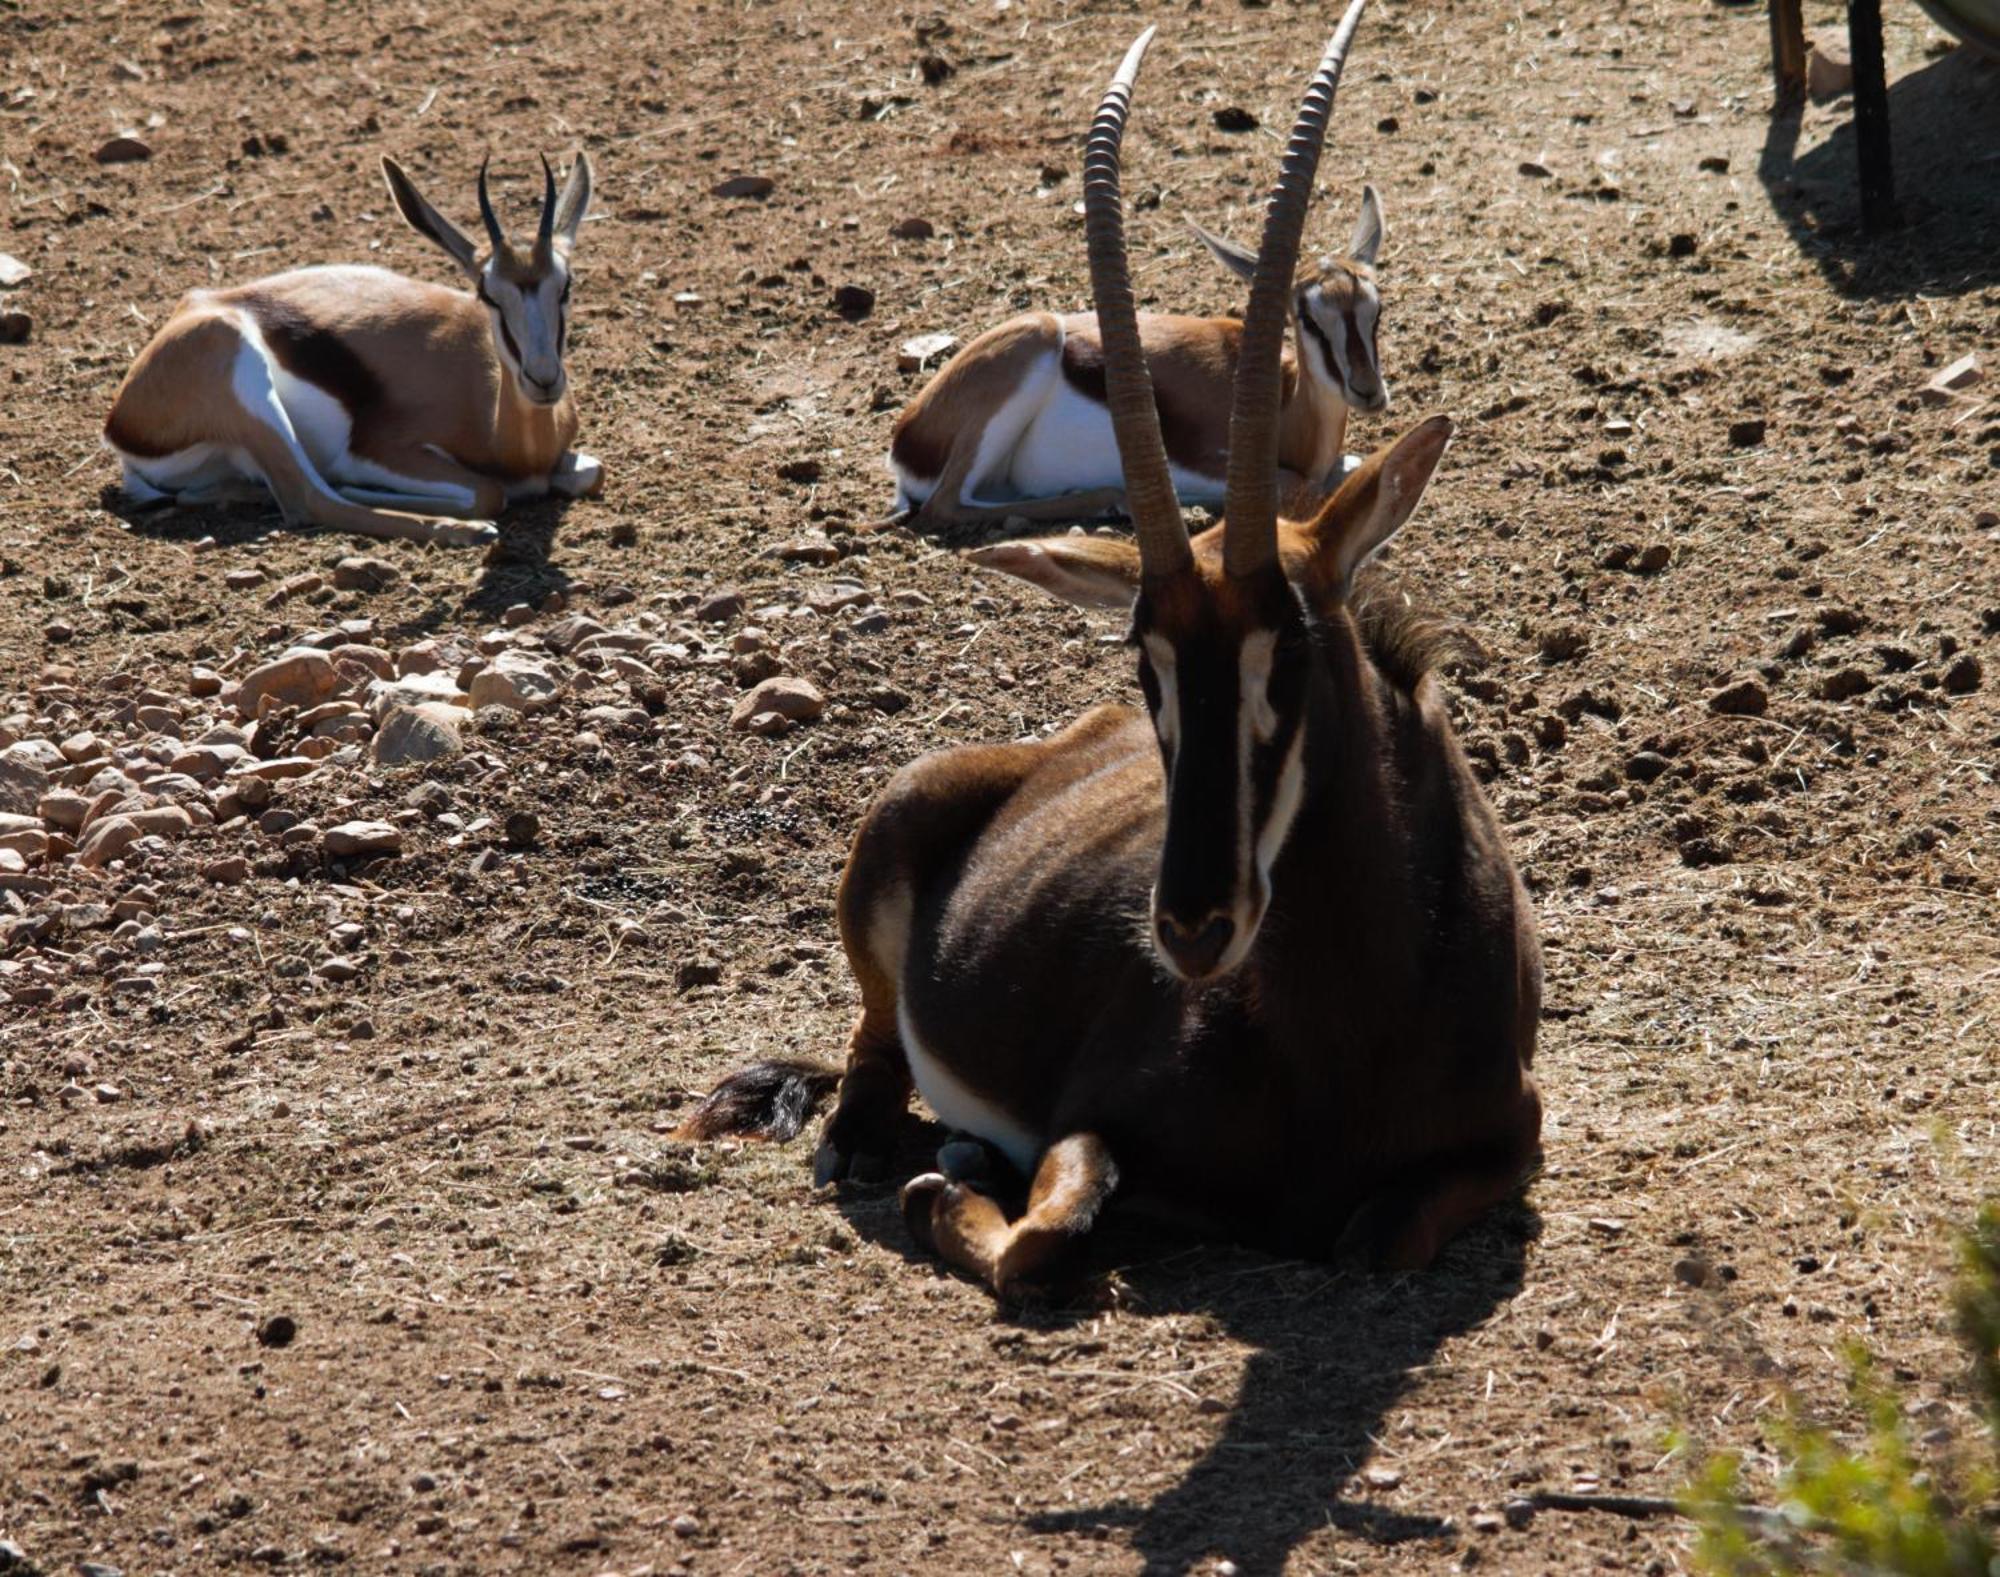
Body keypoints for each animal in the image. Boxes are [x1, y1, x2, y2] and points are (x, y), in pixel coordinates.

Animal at [104, 154, 600, 548]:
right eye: (488, 294)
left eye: (566, 286)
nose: (543, 379)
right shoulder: (376, 450)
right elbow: (488, 492)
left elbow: (591, 471)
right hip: (249, 386)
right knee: (311, 498)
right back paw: (462, 529)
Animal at [892, 95, 1392, 528]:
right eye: (1308, 318)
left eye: (1377, 311)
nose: (1368, 392)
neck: (1289, 404)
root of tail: (907, 435)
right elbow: (1297, 485)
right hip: (1032, 345)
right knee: (941, 507)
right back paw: (1112, 500)